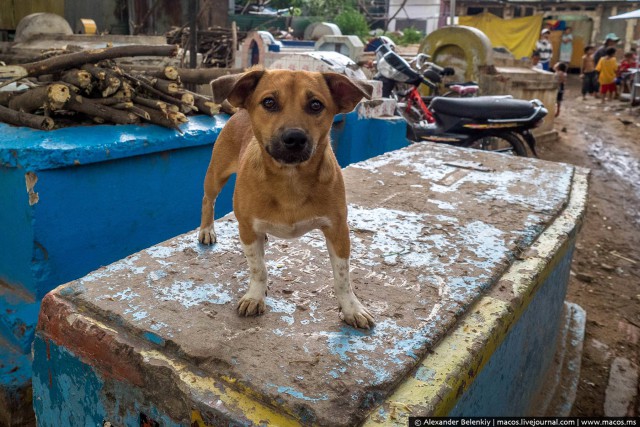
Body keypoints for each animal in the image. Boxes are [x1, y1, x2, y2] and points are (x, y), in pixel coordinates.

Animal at [198, 68, 372, 330]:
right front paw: (255, 296)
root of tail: (239, 111)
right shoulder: (247, 228)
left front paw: (351, 308)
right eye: (269, 102)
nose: (295, 138)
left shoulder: (338, 230)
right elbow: (258, 268)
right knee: (208, 200)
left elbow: (343, 277)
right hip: (216, 175)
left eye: (316, 105)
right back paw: (207, 230)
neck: (290, 179)